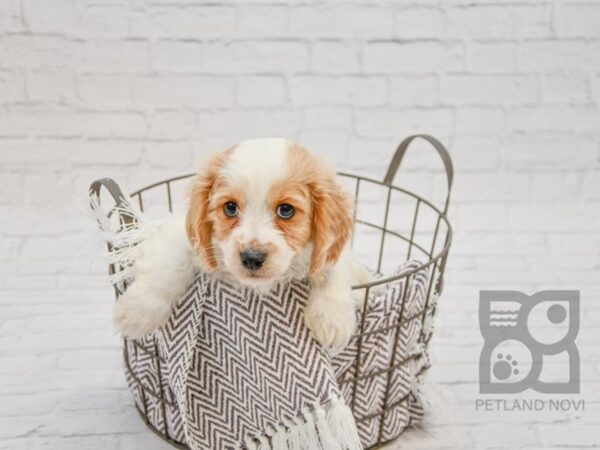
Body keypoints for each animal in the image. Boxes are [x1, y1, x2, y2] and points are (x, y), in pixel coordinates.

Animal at [114, 139, 368, 350]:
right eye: (230, 207)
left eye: (286, 210)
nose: (252, 257)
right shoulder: (184, 235)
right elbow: (171, 261)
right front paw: (138, 310)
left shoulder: (334, 251)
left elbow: (332, 266)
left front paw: (332, 318)